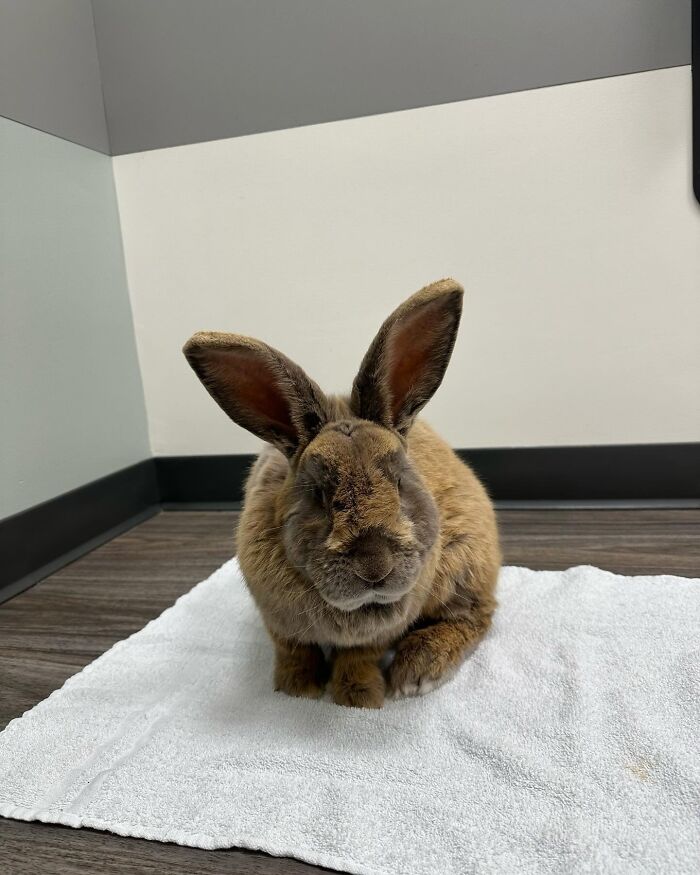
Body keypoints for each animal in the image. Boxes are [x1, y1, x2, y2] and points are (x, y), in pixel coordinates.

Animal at [183, 278, 500, 709]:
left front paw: (358, 698)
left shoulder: (380, 632)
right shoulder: (278, 623)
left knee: (476, 614)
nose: (375, 566)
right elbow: (294, 650)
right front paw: (297, 690)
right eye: (318, 494)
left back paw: (416, 672)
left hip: (463, 562)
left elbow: (358, 657)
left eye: (400, 482)